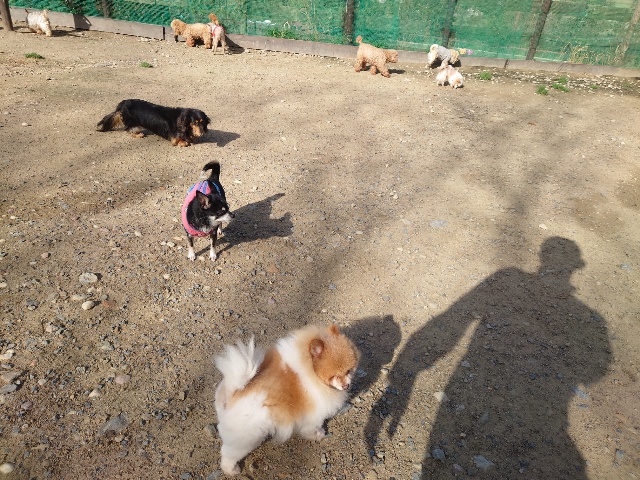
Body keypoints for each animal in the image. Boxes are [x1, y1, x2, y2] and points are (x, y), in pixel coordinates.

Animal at [214, 324, 360, 476]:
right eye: (334, 376)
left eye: (349, 371)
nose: (346, 385)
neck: (311, 372)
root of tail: (232, 393)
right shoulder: (314, 416)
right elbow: (311, 429)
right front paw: (318, 435)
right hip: (247, 437)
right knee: (228, 453)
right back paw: (232, 470)